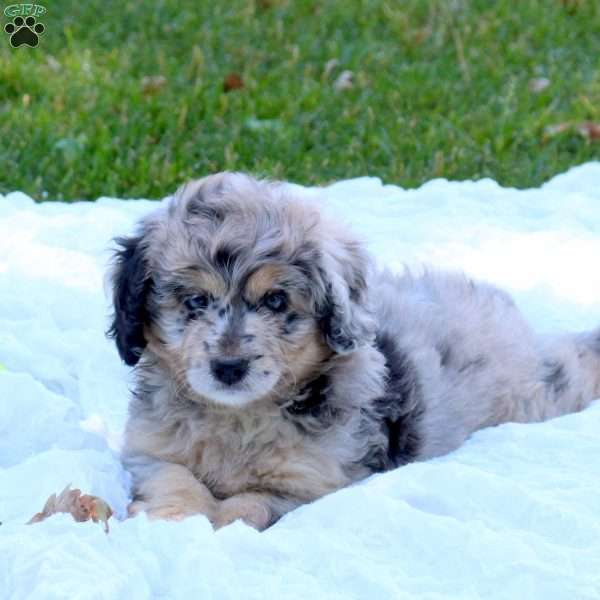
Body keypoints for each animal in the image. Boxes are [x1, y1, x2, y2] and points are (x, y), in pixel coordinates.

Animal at [109, 171, 600, 528]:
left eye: (276, 301)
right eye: (195, 301)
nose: (229, 367)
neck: (237, 419)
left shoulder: (312, 486)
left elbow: (250, 503)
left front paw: (219, 520)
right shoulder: (150, 451)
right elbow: (174, 477)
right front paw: (172, 517)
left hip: (534, 394)